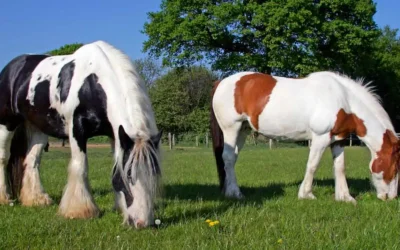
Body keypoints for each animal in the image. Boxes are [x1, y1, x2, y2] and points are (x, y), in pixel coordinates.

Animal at [0, 40, 162, 229]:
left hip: (38, 128)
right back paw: (5, 198)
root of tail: (12, 67)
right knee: (3, 157)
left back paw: (37, 200)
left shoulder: (115, 135)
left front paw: (118, 206)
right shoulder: (77, 130)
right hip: (7, 123)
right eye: (129, 175)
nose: (142, 223)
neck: (92, 83)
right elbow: (80, 166)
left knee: (32, 160)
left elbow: (115, 167)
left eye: (153, 173)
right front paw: (80, 211)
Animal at [211, 71, 398, 203]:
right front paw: (306, 194)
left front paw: (345, 197)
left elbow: (340, 167)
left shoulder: (338, 140)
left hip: (243, 130)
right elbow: (312, 165)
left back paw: (228, 190)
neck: (343, 99)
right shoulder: (320, 138)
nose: (391, 197)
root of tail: (221, 82)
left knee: (232, 159)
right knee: (228, 158)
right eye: (395, 167)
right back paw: (235, 193)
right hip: (231, 128)